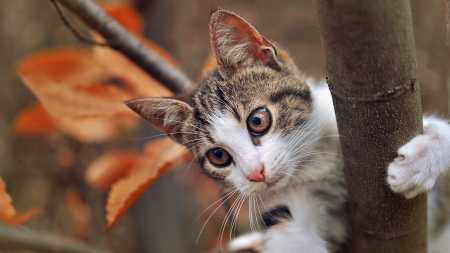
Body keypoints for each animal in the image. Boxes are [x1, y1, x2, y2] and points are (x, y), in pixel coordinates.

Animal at [125, 7, 450, 253]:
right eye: (218, 156)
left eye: (258, 120)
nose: (255, 173)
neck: (314, 164)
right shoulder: (286, 205)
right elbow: (294, 234)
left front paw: (420, 161)